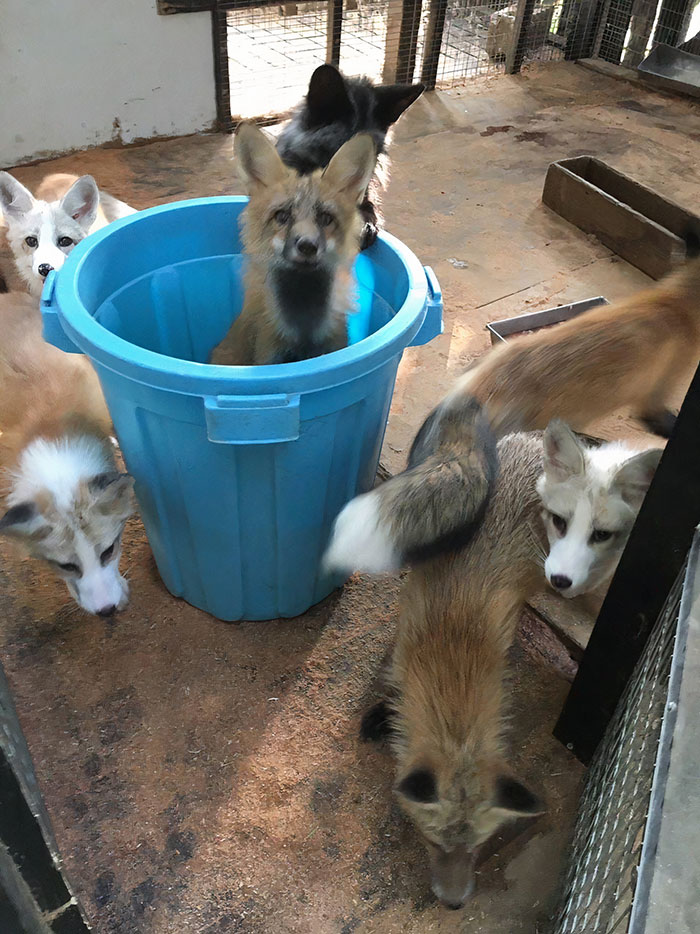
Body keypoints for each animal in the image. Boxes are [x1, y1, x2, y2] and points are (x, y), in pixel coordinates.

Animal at [210, 122, 376, 367]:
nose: (307, 246)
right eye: (282, 216)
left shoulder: (336, 345)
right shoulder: (268, 356)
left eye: (325, 218)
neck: (303, 331)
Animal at [358, 423, 660, 909]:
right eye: (432, 843)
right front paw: (382, 710)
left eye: (479, 847)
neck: (453, 656)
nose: (454, 903)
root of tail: (535, 439)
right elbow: (390, 676)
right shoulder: (407, 626)